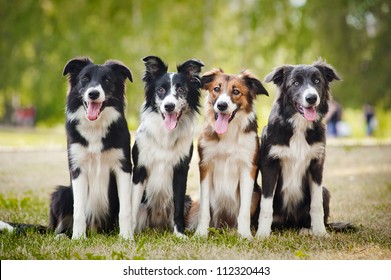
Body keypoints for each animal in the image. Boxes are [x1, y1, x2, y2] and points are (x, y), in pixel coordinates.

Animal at [50, 57, 134, 238]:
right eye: (85, 78)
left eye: (107, 80)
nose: (93, 93)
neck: (95, 126)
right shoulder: (77, 168)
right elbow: (79, 210)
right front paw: (78, 238)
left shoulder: (123, 167)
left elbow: (125, 209)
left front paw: (126, 237)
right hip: (62, 193)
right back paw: (62, 236)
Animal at [132, 55, 205, 237]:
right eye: (160, 90)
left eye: (182, 90)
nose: (169, 106)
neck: (165, 135)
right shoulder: (139, 169)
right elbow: (132, 207)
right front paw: (127, 234)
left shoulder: (180, 169)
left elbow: (177, 208)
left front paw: (180, 234)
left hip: (188, 199)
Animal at [190, 68, 270, 238]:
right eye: (216, 89)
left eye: (236, 91)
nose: (221, 105)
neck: (229, 132)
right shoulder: (205, 165)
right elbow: (204, 211)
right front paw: (200, 234)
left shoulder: (248, 168)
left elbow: (244, 211)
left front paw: (245, 235)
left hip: (256, 194)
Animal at [256, 60, 342, 236]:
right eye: (295, 83)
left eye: (317, 81)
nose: (311, 98)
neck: (298, 126)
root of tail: (290, 223)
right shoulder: (270, 165)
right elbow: (266, 205)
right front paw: (262, 234)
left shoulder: (316, 165)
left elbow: (316, 204)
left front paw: (320, 232)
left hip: (325, 191)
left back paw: (307, 230)